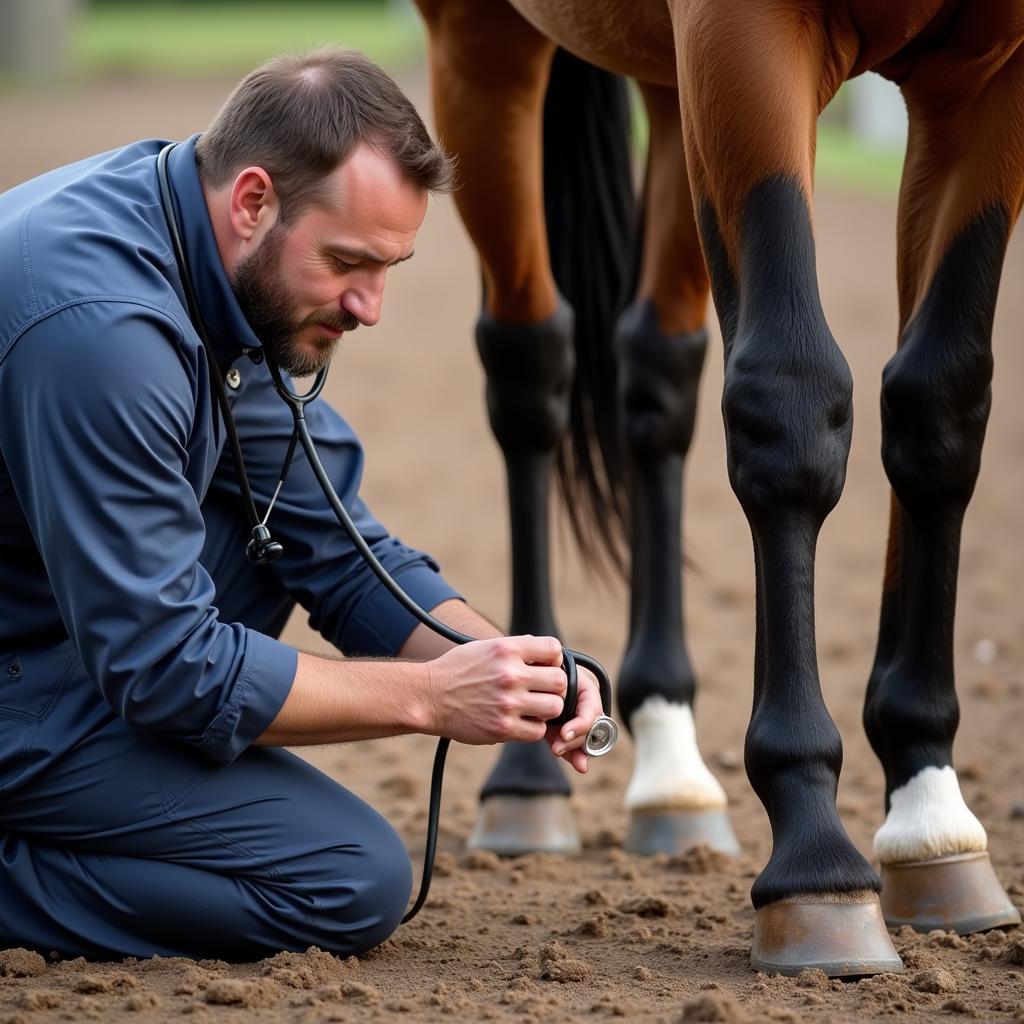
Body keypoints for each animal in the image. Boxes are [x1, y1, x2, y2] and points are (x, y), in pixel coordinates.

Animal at [407, 0, 1024, 974]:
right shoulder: (746, 38)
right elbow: (790, 401)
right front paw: (816, 857)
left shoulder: (988, 83)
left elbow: (940, 403)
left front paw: (931, 812)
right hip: (481, 46)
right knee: (530, 364)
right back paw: (529, 775)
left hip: (670, 89)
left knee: (656, 371)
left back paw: (671, 768)